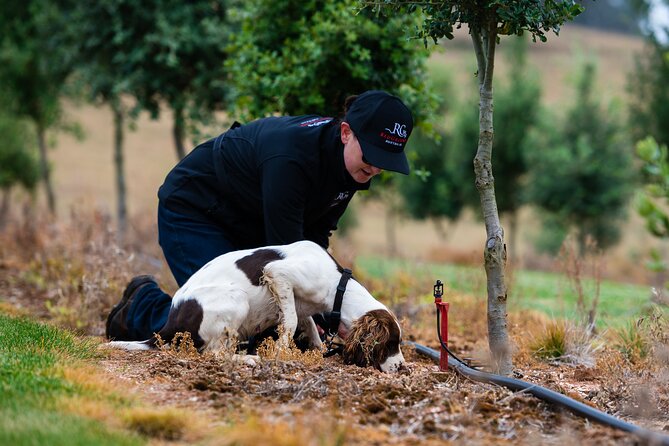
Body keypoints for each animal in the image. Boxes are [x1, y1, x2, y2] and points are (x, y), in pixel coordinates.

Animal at [107, 240, 404, 372]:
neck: (337, 286)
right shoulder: (278, 273)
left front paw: (317, 352)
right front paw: (282, 353)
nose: (404, 368)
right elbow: (291, 323)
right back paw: (249, 357)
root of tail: (169, 324)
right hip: (236, 298)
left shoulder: (299, 305)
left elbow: (307, 327)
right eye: (391, 343)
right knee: (214, 354)